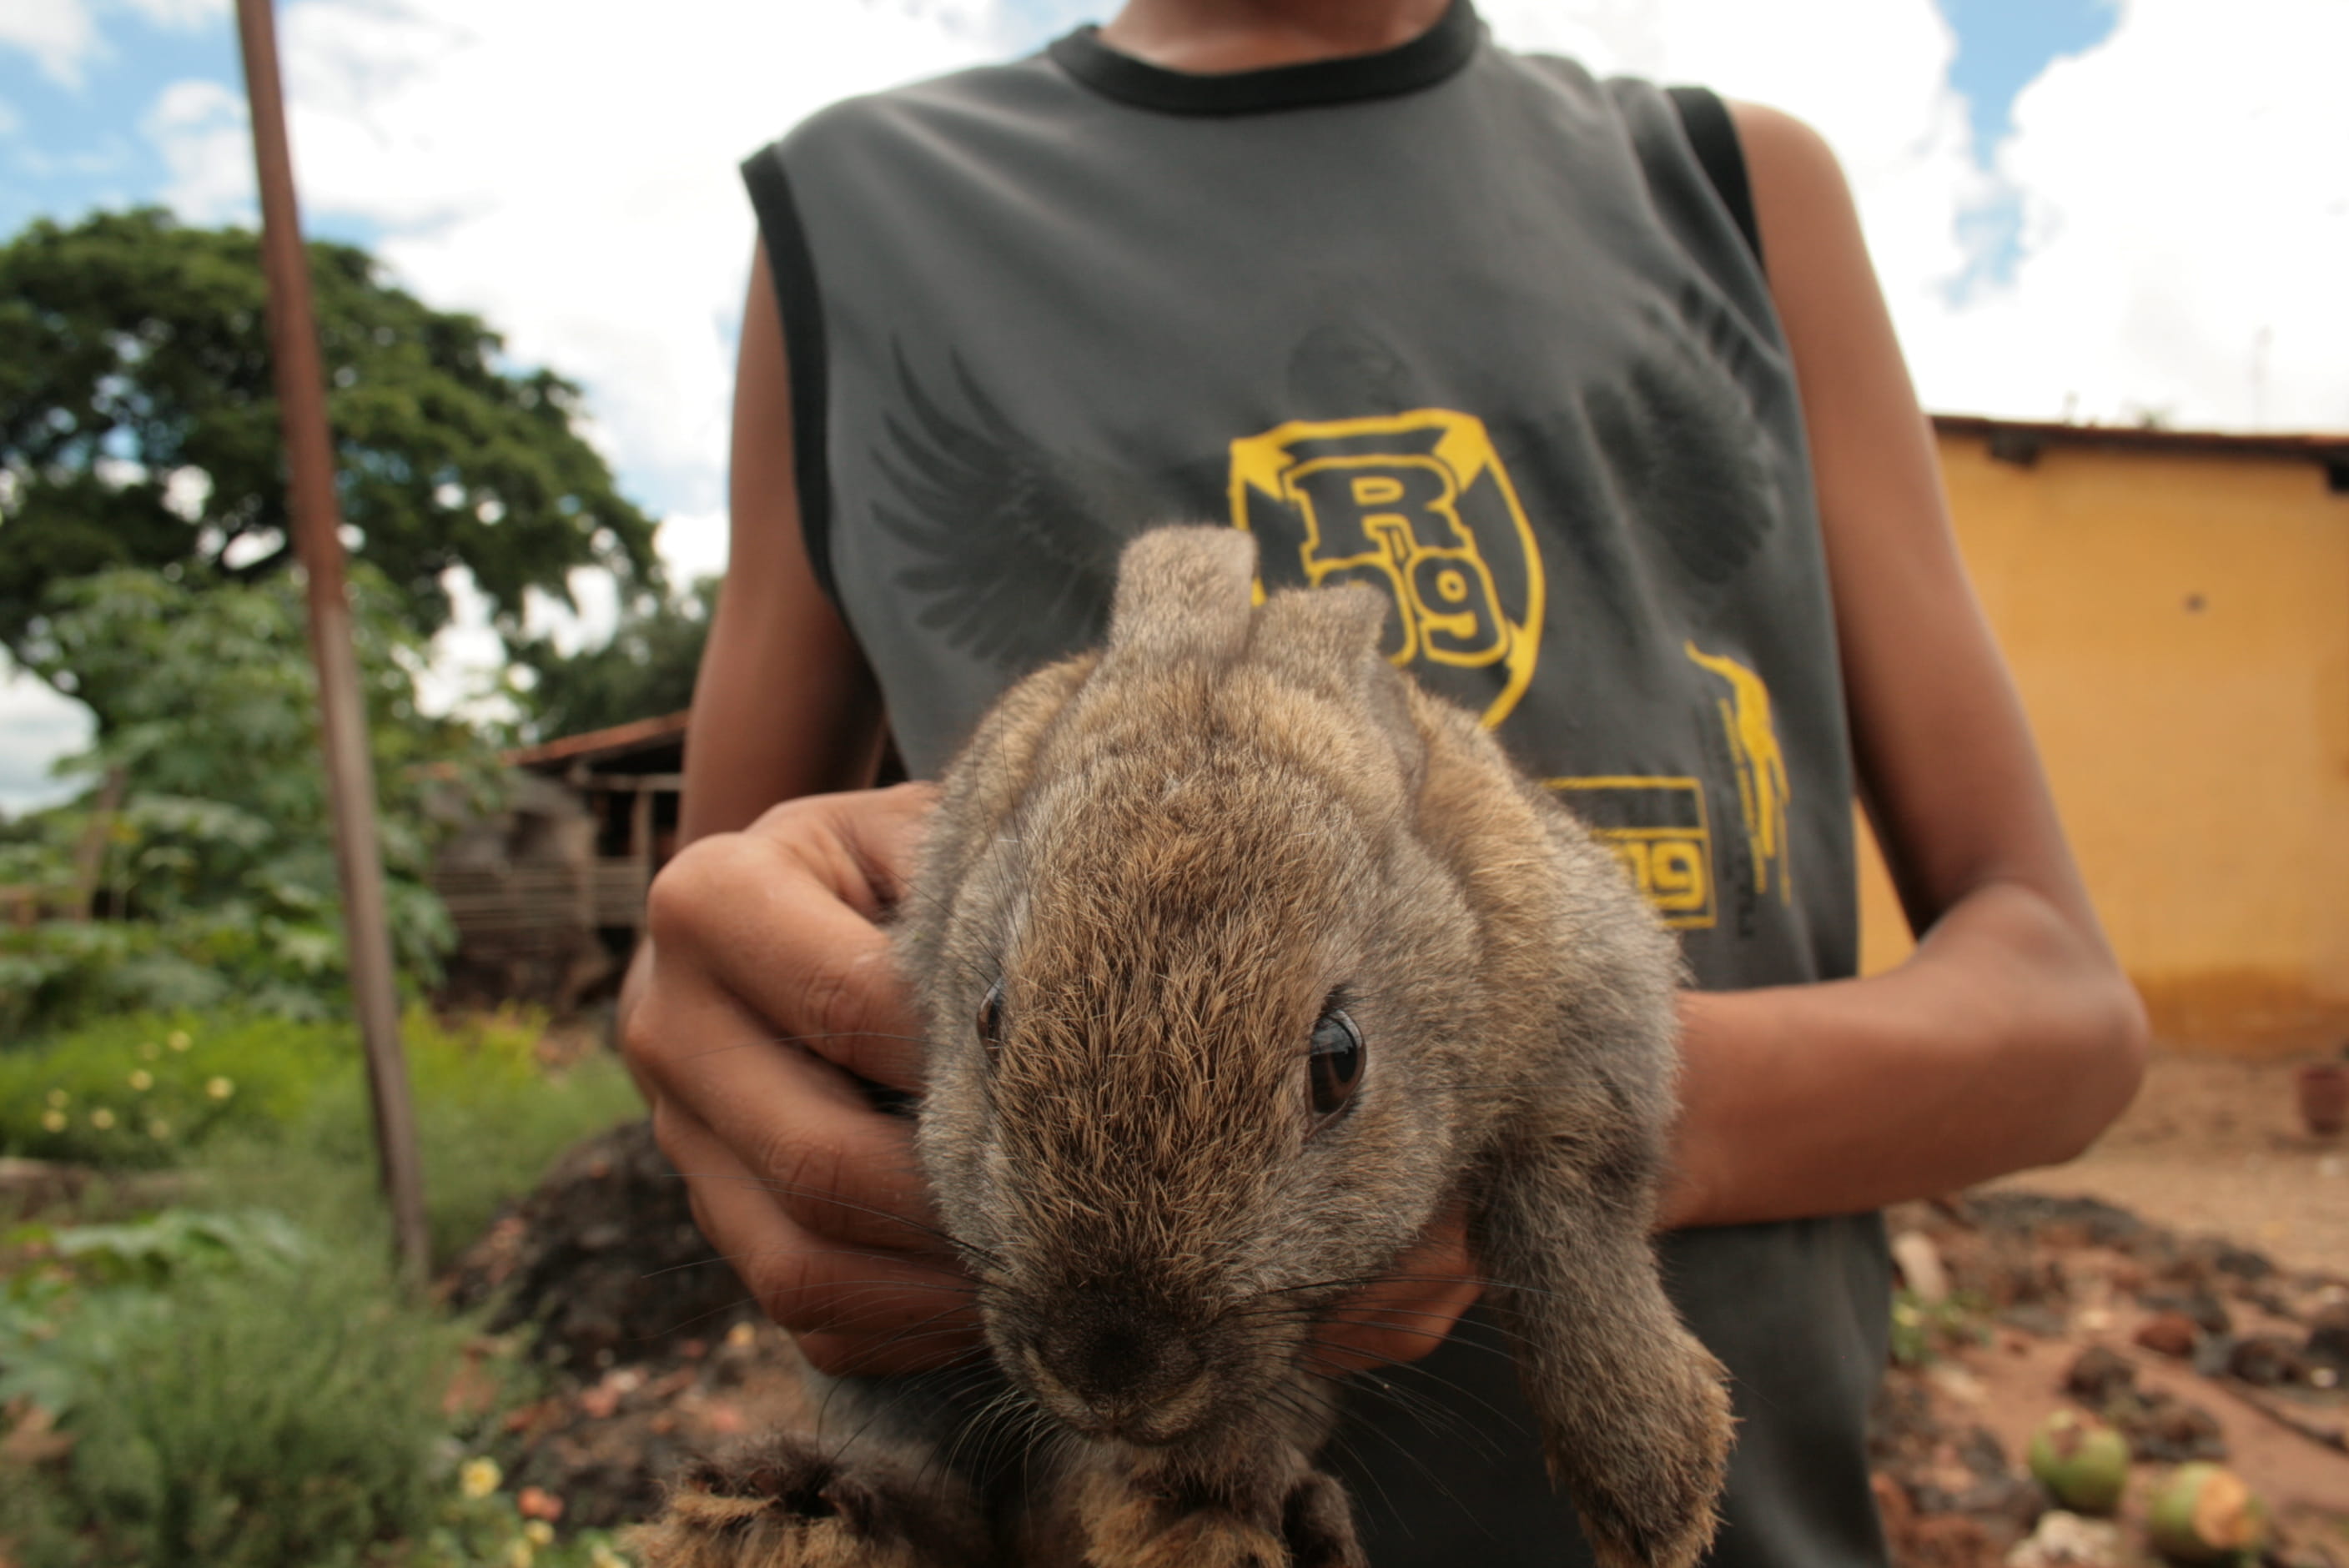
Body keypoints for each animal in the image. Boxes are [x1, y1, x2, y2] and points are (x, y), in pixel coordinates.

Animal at [642, 525, 1734, 1568]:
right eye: (991, 1018)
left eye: (1338, 1060)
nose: (1111, 1372)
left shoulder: (1587, 992)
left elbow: (1570, 1204)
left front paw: (1654, 1484)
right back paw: (794, 1511)